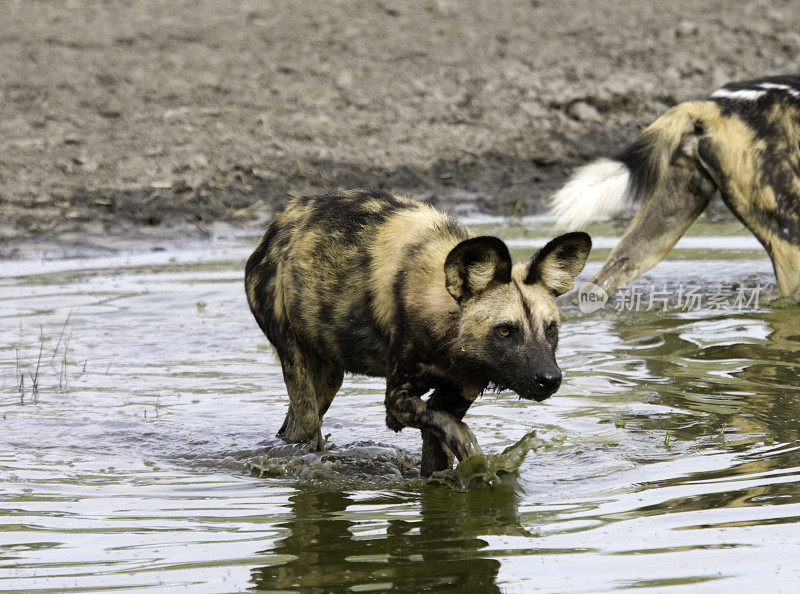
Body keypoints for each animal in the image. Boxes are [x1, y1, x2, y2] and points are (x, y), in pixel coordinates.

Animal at [247, 190, 592, 476]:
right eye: (505, 331)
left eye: (550, 329)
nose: (550, 379)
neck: (448, 339)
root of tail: (281, 221)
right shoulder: (398, 398)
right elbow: (453, 431)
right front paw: (478, 460)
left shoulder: (454, 396)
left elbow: (438, 448)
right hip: (299, 369)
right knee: (307, 429)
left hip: (329, 373)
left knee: (292, 428)